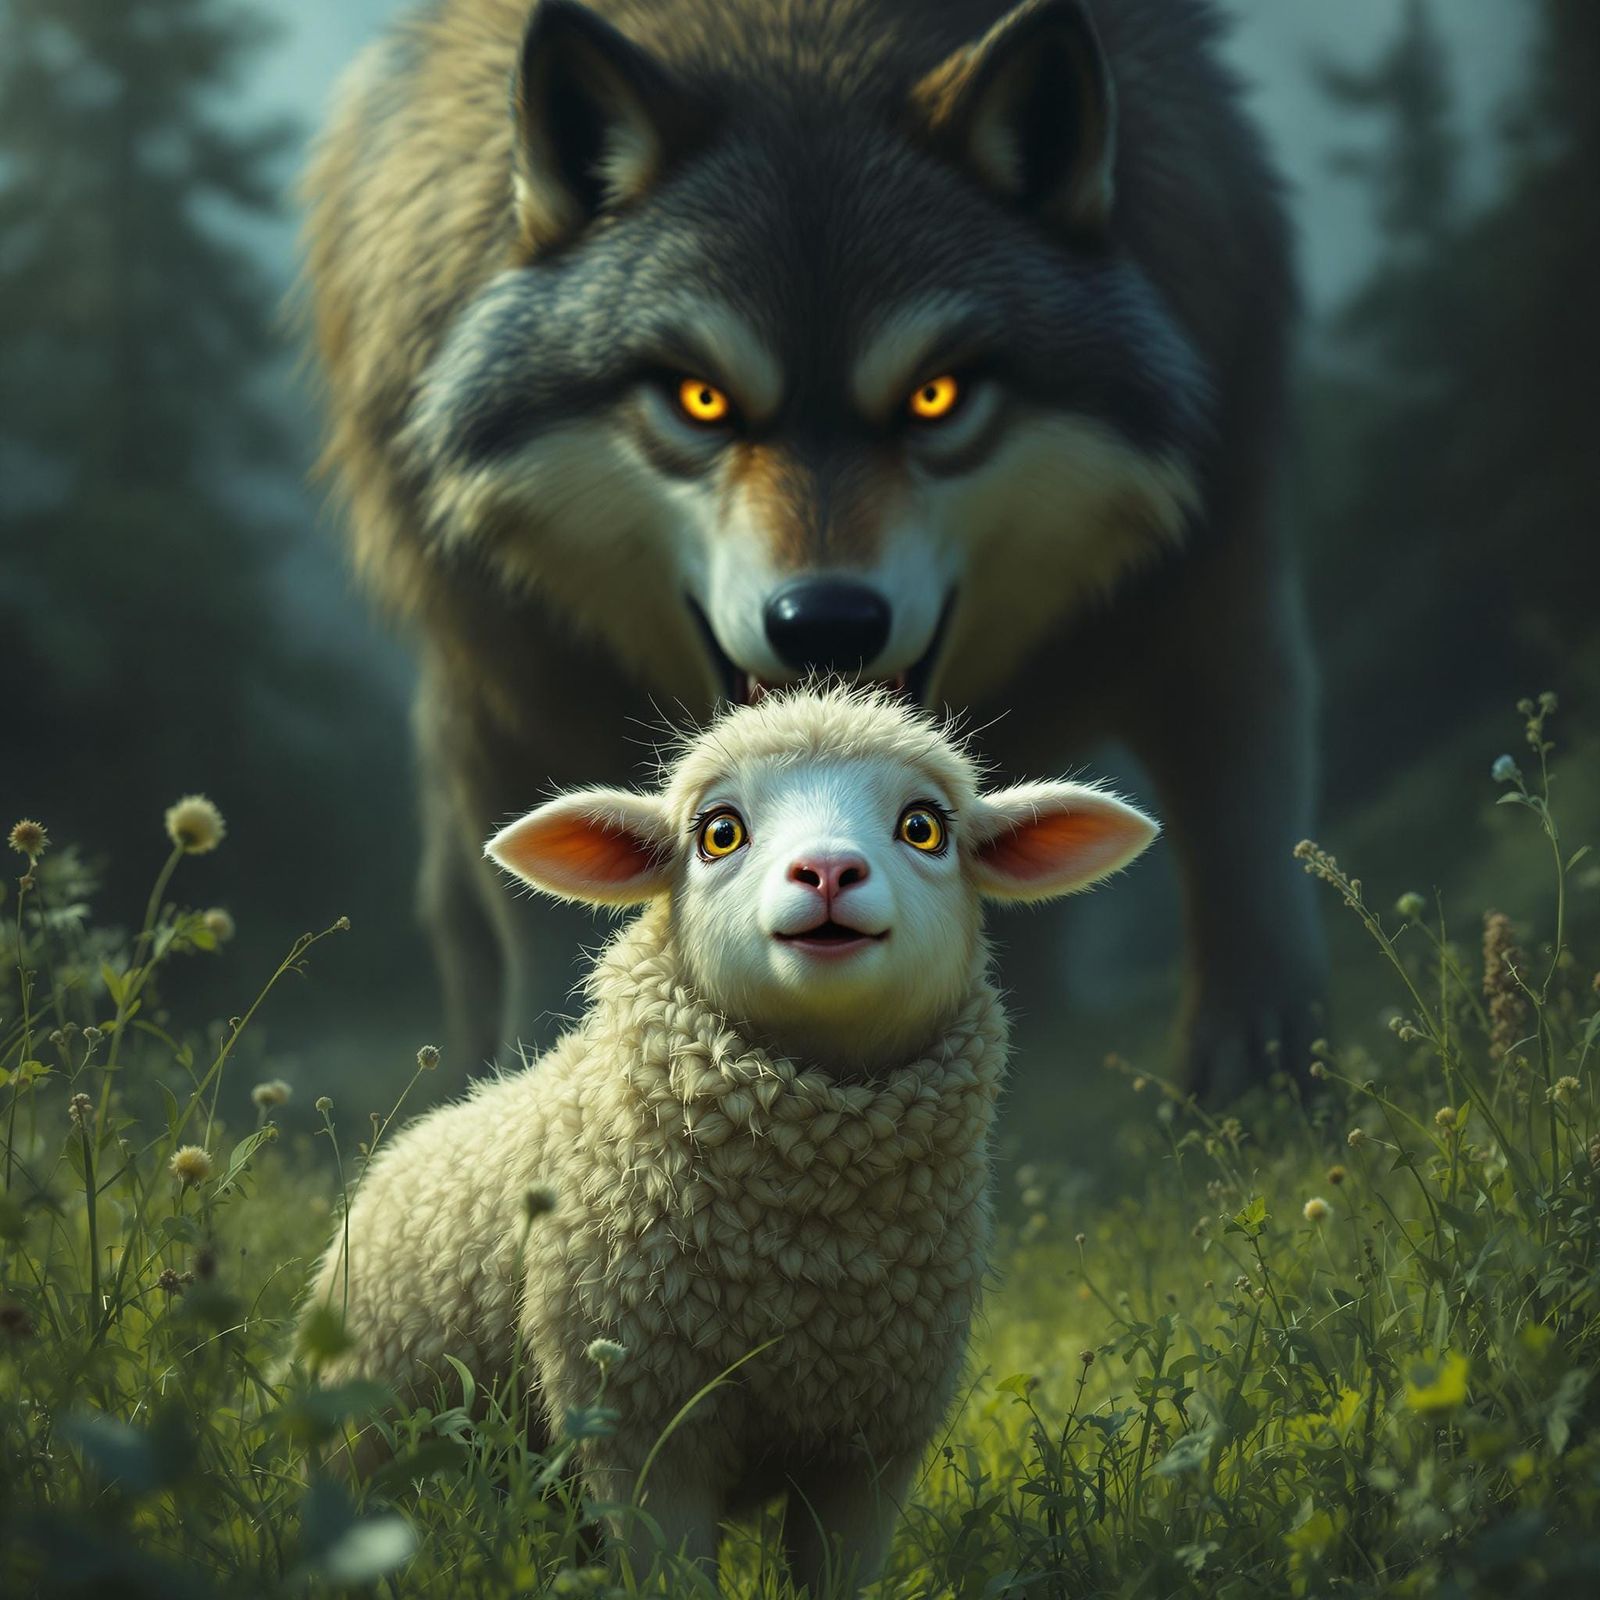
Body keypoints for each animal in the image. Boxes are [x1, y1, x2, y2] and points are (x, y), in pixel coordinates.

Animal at [301, 684, 1157, 1592]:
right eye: (718, 831)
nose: (827, 872)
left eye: (925, 826)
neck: (805, 1254)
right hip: (364, 1438)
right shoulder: (642, 1430)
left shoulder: (870, 1450)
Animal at [303, 0, 1323, 1099]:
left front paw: (1261, 1075)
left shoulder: (1210, 588)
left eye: (937, 396)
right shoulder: (517, 689)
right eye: (700, 398)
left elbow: (1241, 844)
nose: (825, 623)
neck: (801, 42)